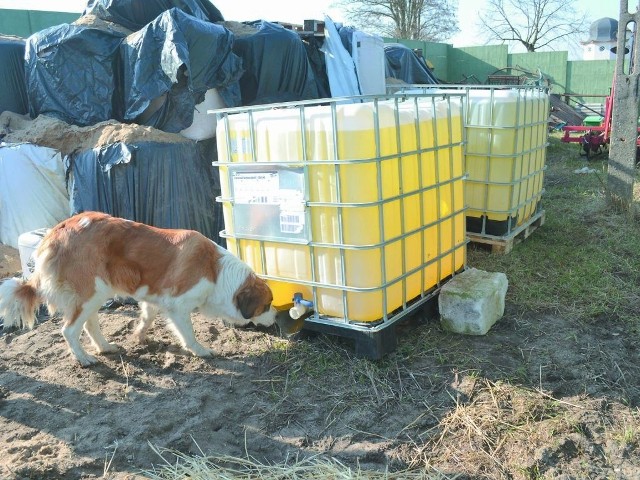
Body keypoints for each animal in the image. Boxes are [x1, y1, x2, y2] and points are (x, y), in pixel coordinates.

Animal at [0, 212, 272, 366]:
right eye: (267, 306)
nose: (275, 318)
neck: (216, 271)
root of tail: (57, 230)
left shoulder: (153, 297)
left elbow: (147, 318)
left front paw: (139, 335)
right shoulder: (178, 305)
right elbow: (189, 334)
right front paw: (201, 351)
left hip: (97, 293)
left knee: (89, 324)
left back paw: (105, 347)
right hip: (91, 293)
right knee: (69, 330)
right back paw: (84, 358)